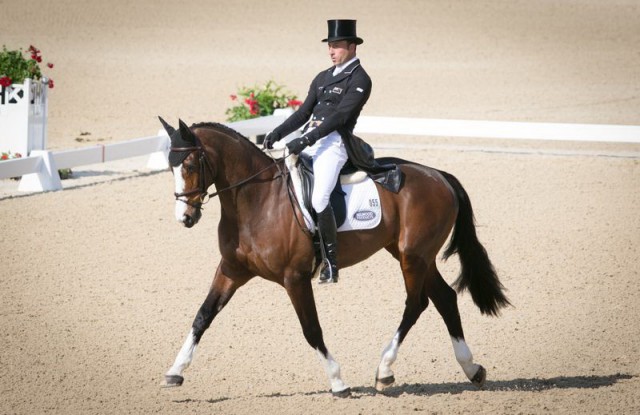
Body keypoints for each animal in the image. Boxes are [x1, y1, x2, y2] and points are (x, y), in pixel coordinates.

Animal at [160, 118, 510, 398]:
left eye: (189, 166)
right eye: (170, 167)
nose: (185, 218)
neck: (257, 201)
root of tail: (438, 175)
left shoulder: (295, 278)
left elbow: (311, 329)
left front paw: (338, 382)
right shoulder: (232, 270)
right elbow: (202, 316)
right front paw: (174, 372)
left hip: (413, 257)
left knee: (416, 303)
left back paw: (385, 370)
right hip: (414, 255)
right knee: (445, 298)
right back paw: (472, 369)